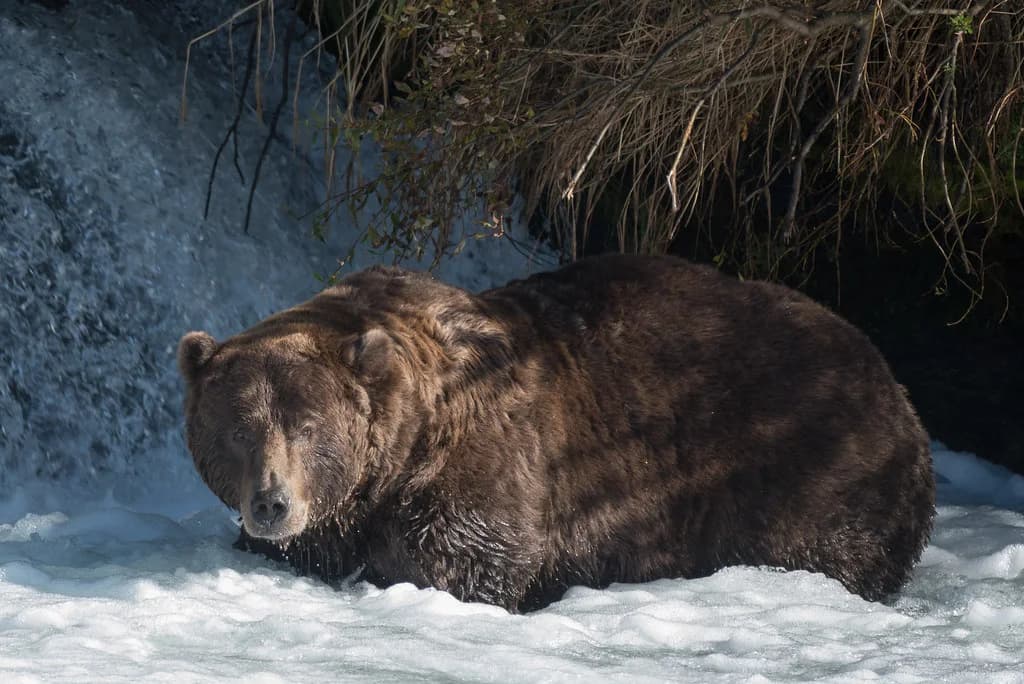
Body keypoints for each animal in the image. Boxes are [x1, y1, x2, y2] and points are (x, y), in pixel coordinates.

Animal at [177, 254, 935, 612]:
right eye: (240, 429)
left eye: (309, 427)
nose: (272, 503)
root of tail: (895, 384)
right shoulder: (347, 509)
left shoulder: (488, 464)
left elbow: (471, 562)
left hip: (809, 463)